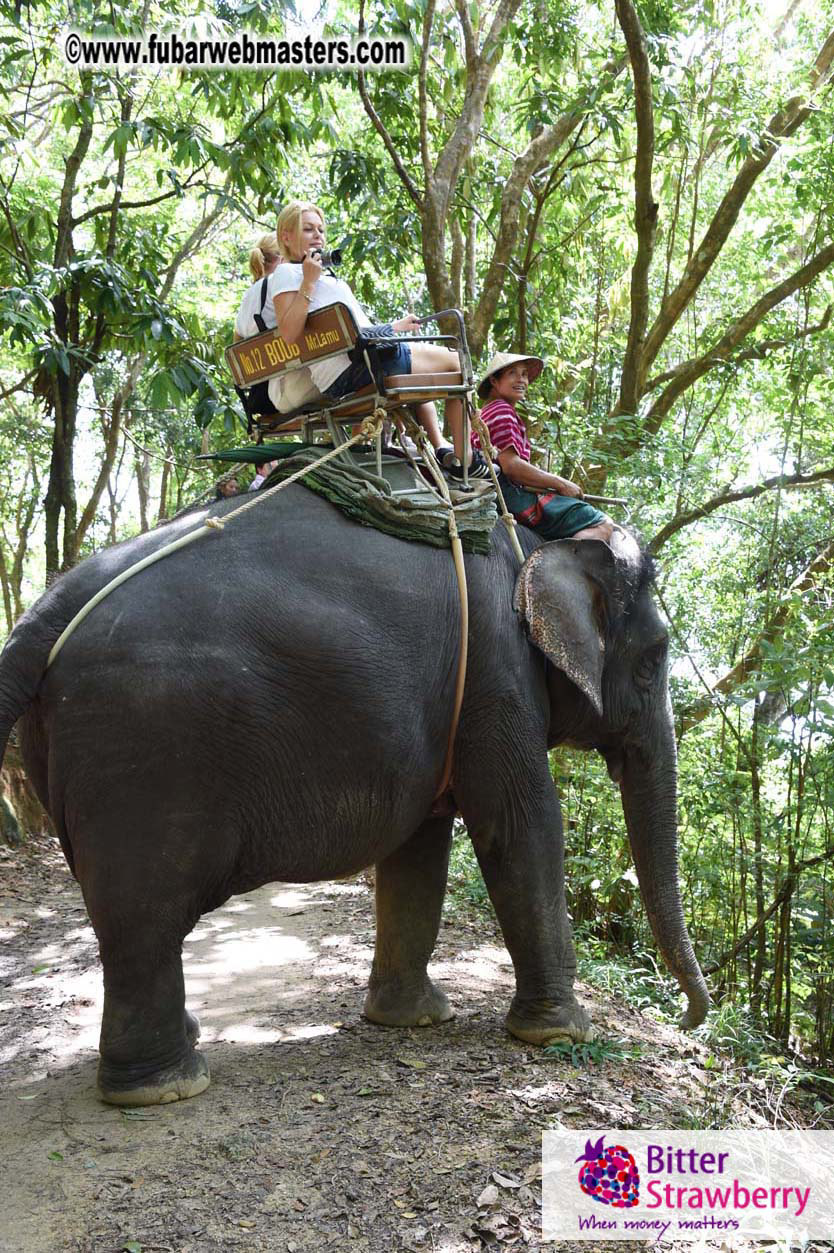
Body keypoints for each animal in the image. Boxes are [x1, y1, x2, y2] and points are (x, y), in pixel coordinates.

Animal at [0, 484, 709, 1105]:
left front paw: (412, 1020)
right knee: (144, 919)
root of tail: (48, 608)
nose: (689, 1020)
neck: (536, 541)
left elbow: (418, 851)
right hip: (145, 746)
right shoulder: (497, 673)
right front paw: (562, 1032)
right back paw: (165, 1086)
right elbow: (523, 824)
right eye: (655, 658)